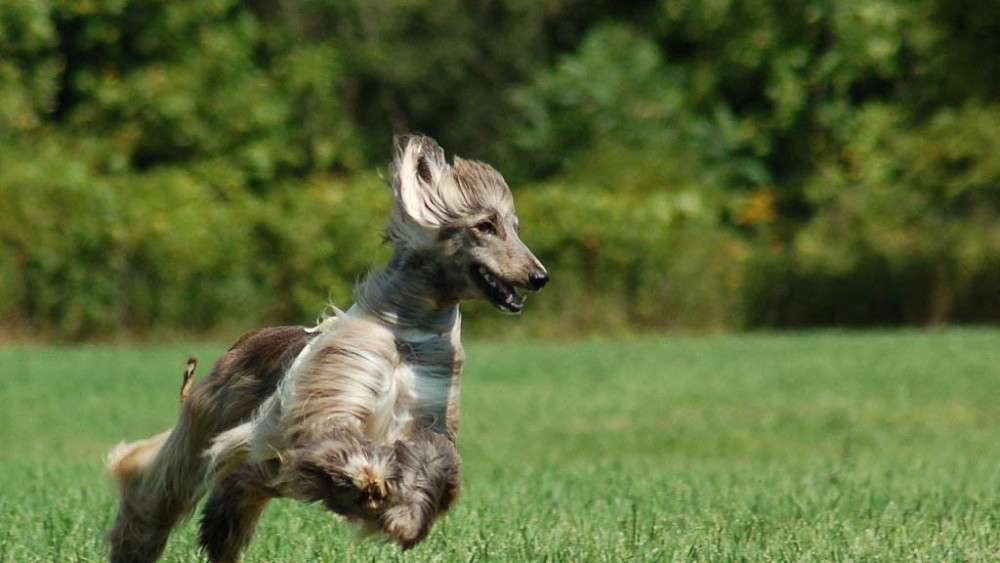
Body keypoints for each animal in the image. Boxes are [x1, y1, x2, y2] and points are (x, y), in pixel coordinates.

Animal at [105, 137, 552, 563]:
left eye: (513, 227)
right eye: (485, 225)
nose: (539, 276)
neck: (408, 334)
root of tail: (243, 341)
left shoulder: (428, 412)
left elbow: (433, 462)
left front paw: (403, 517)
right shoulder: (332, 397)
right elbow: (335, 438)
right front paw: (368, 481)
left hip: (249, 460)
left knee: (235, 491)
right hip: (206, 422)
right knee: (155, 484)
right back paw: (132, 546)